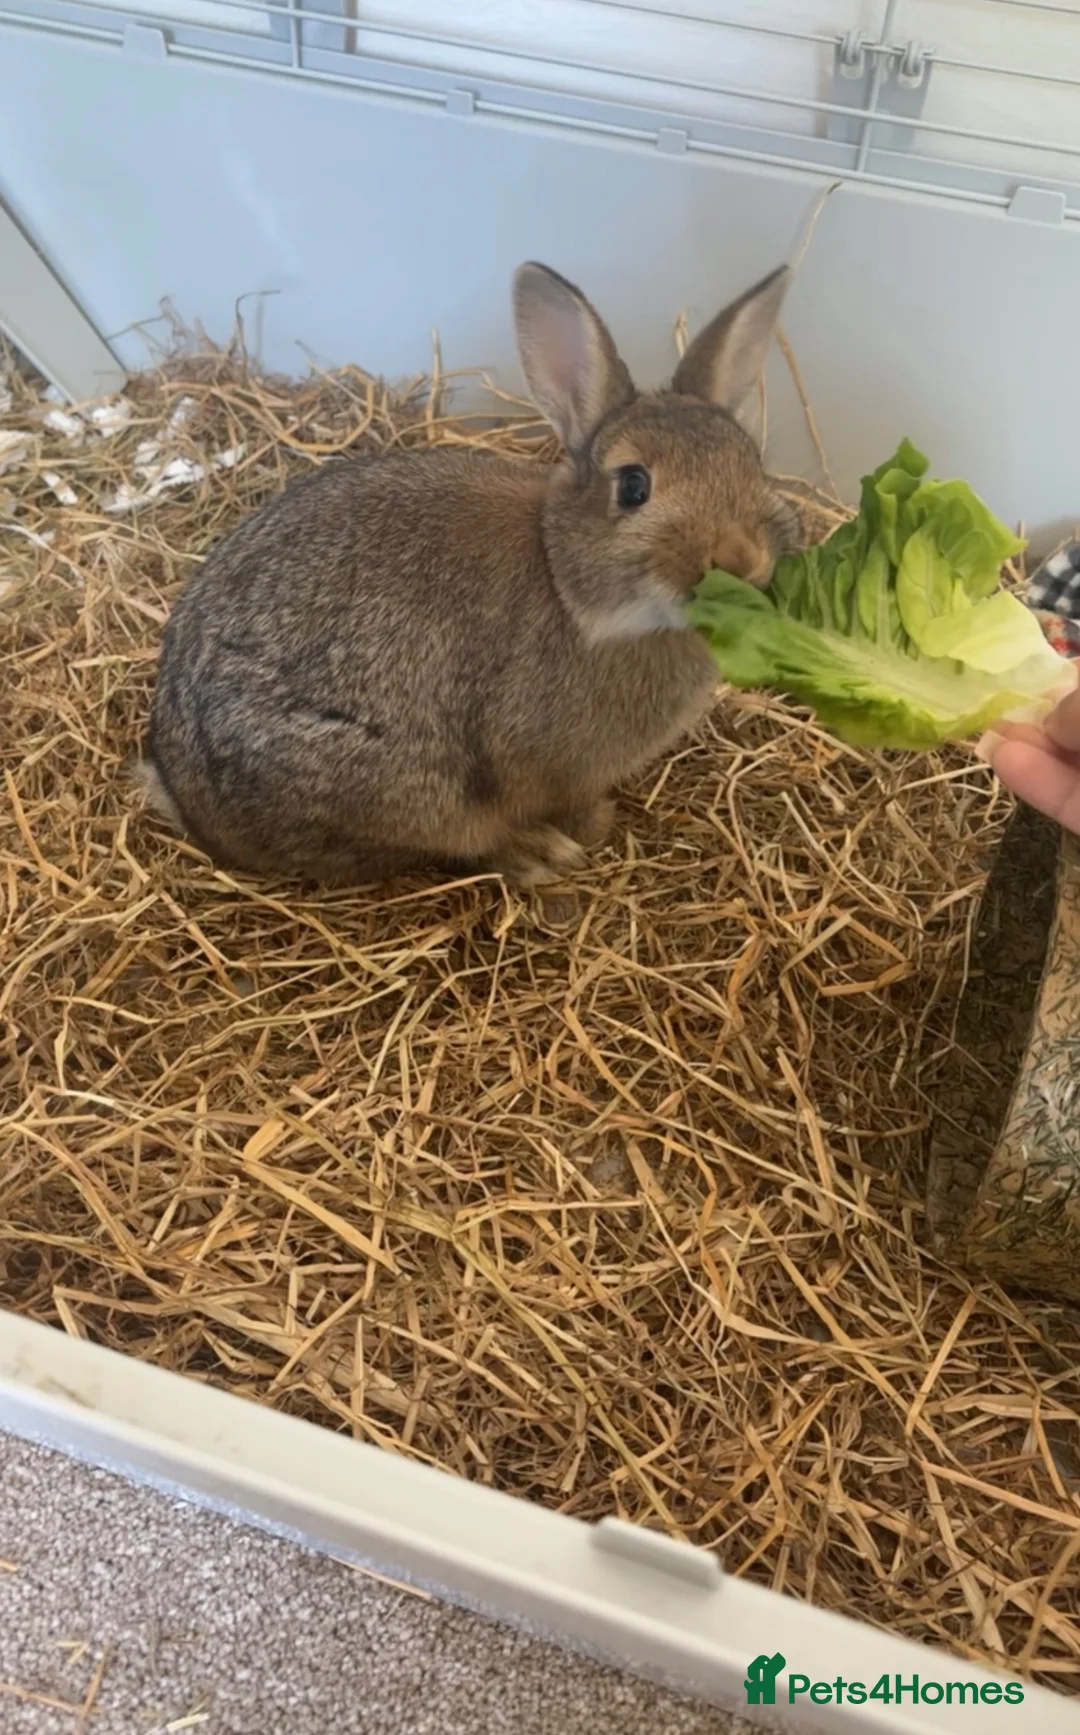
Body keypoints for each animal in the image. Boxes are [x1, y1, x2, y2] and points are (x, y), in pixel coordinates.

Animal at [141, 259, 802, 888]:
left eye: (750, 462)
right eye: (634, 486)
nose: (742, 561)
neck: (569, 586)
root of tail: (183, 795)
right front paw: (594, 826)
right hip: (404, 788)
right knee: (457, 844)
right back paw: (540, 855)